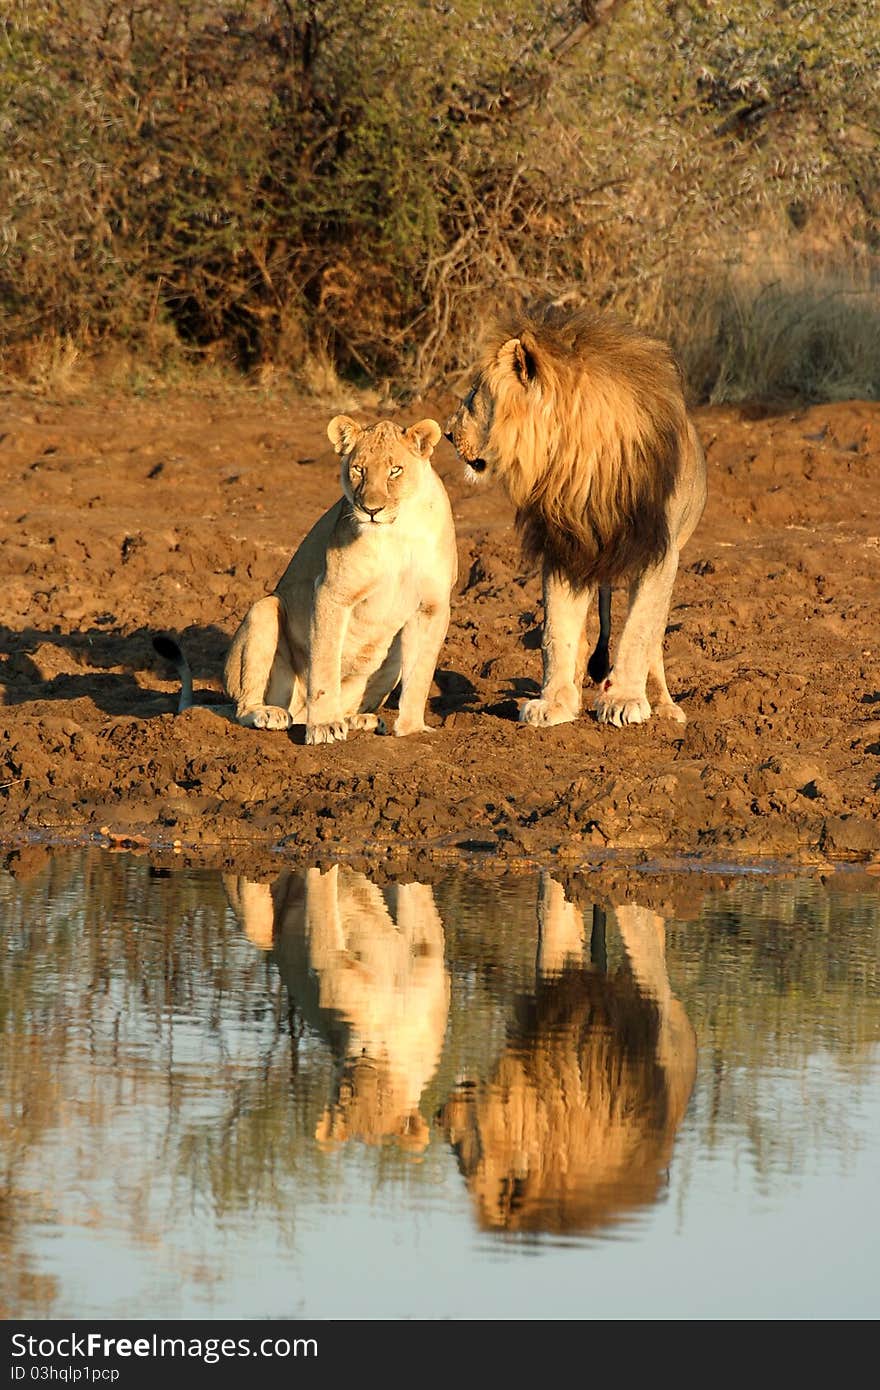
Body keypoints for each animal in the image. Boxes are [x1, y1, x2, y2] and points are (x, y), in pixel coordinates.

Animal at [163, 411, 458, 745]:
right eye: (358, 469)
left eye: (395, 470)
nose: (371, 509)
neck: (398, 531)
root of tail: (298, 711)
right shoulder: (332, 592)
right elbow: (325, 664)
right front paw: (325, 726)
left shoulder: (434, 606)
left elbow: (421, 672)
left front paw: (412, 729)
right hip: (264, 610)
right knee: (243, 707)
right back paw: (270, 714)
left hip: (391, 660)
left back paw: (362, 720)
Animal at [444, 303, 706, 728]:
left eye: (474, 393)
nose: (448, 433)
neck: (579, 455)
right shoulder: (565, 544)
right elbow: (557, 630)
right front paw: (554, 703)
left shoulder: (659, 550)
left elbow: (639, 630)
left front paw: (624, 700)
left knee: (654, 640)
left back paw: (665, 707)